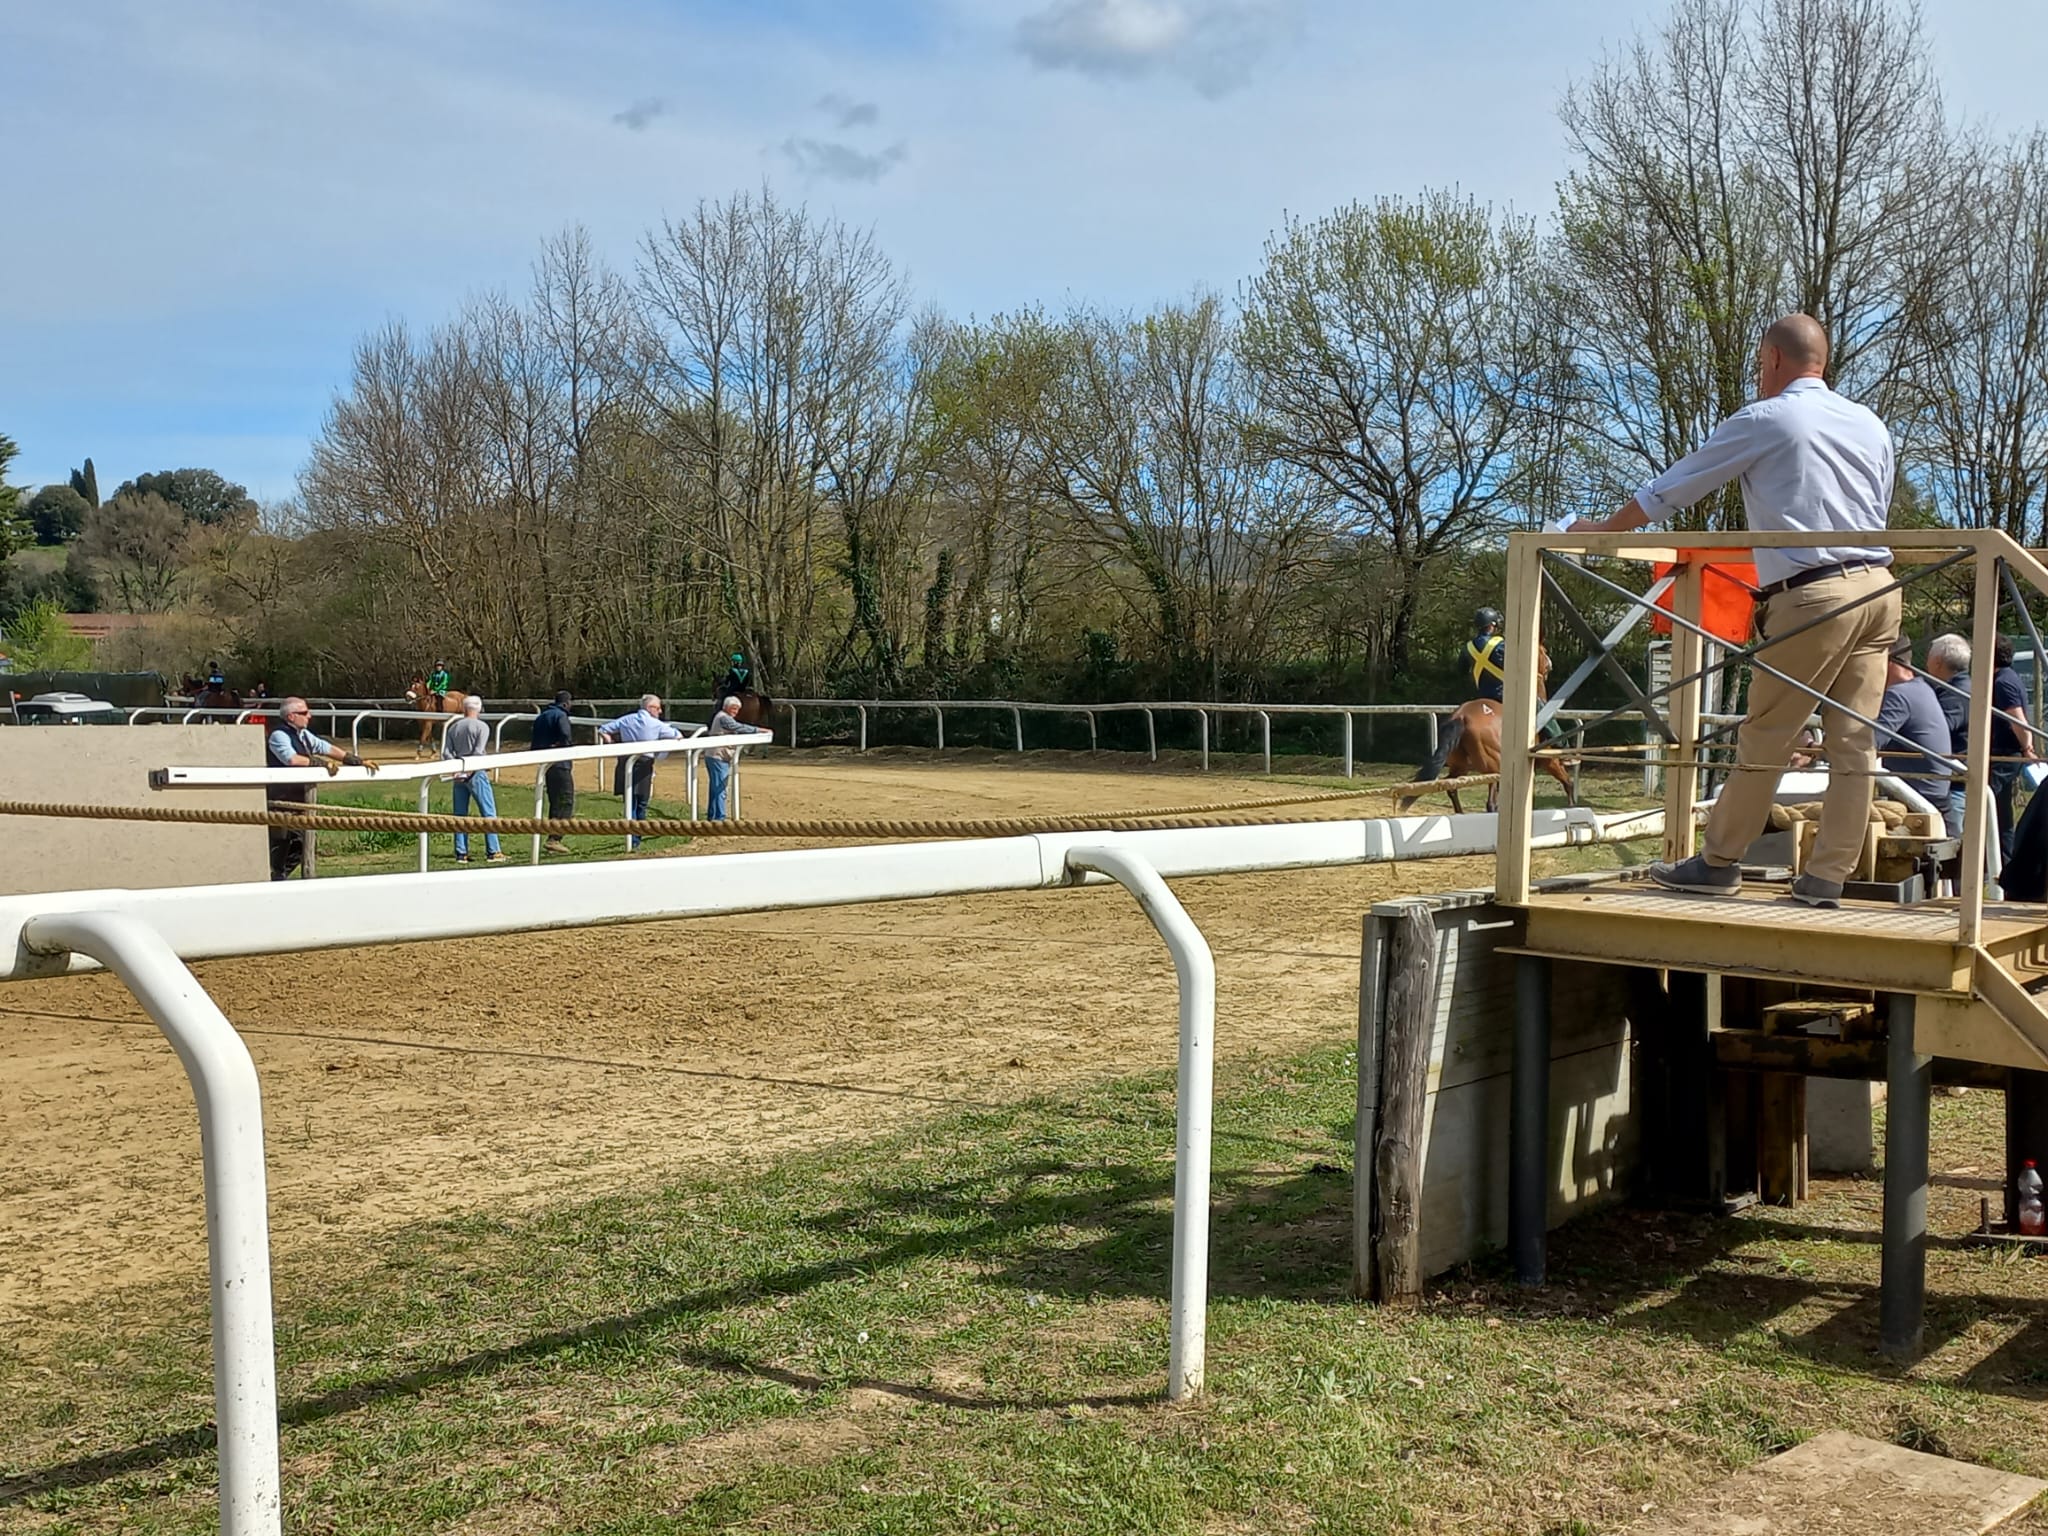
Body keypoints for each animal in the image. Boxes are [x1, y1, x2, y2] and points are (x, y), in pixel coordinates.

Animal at [1400, 643, 1572, 819]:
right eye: (1544, 651)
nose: (1550, 664)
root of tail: (1461, 716)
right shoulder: (1549, 761)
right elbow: (1568, 782)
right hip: (1493, 768)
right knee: (1490, 803)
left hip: (1461, 766)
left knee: (1452, 788)